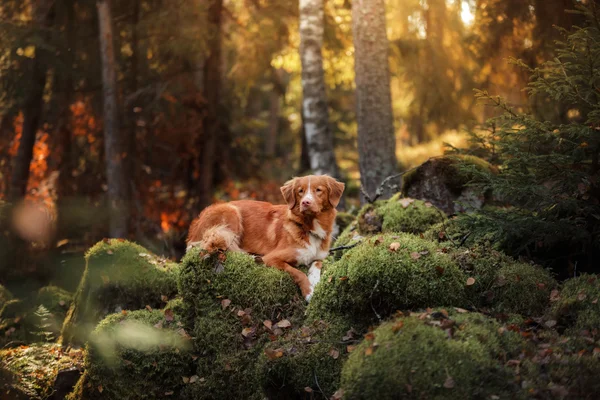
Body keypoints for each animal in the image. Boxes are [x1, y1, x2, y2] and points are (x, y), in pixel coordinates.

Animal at [188, 175, 346, 300]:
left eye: (318, 190)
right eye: (300, 191)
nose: (305, 202)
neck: (308, 228)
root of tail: (195, 226)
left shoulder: (320, 256)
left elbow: (317, 263)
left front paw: (314, 280)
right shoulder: (272, 258)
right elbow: (297, 272)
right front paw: (308, 292)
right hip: (231, 213)